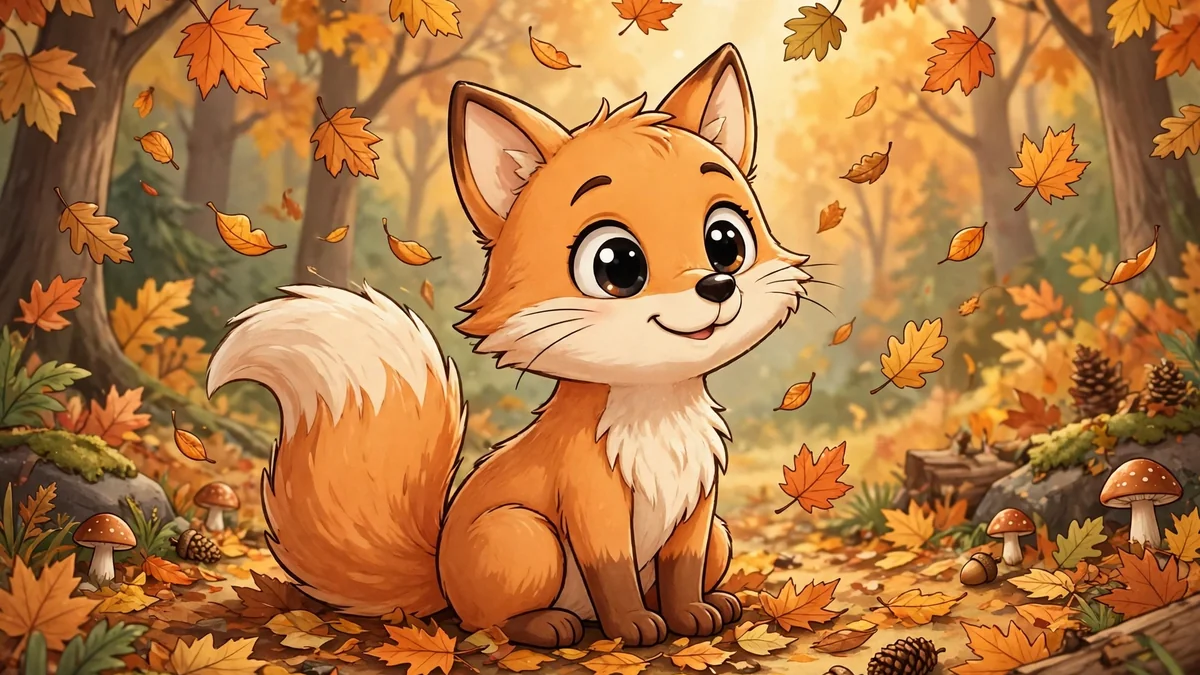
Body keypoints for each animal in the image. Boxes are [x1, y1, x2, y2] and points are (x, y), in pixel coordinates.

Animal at [205, 42, 813, 648]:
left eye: (726, 241)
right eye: (617, 264)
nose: (718, 285)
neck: (655, 410)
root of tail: (441, 577)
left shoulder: (699, 505)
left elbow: (682, 570)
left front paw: (689, 615)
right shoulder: (592, 499)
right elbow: (613, 575)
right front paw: (633, 627)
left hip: (720, 538)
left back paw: (708, 603)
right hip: (524, 536)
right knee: (487, 622)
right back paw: (547, 625)